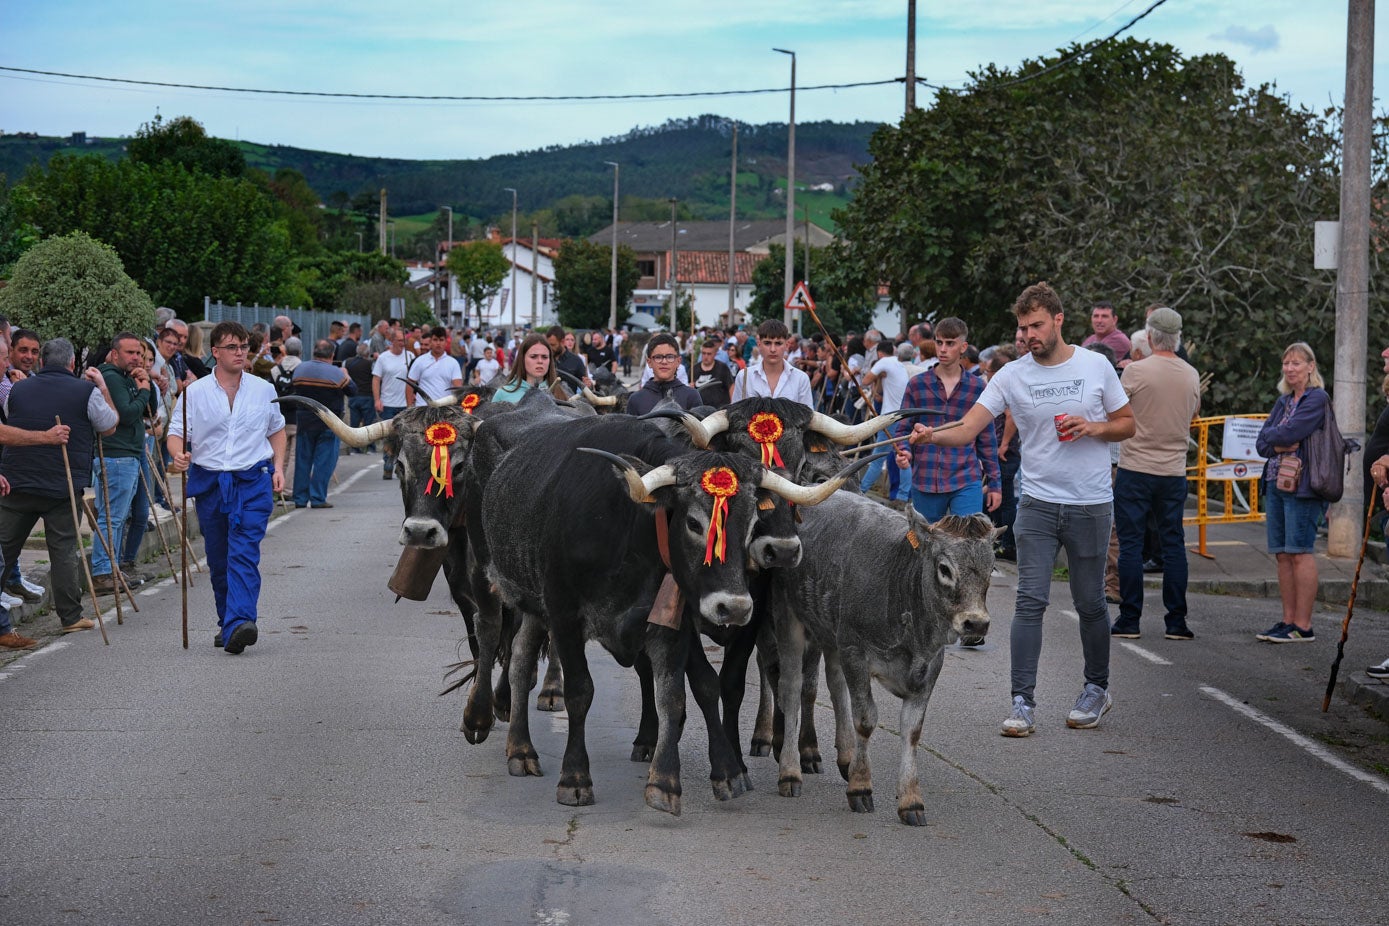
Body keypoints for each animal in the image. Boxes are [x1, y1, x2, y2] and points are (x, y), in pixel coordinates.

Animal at [772, 497, 1000, 827]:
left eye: (991, 567)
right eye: (944, 568)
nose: (976, 623)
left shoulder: (929, 668)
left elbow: (912, 730)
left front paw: (910, 801)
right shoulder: (854, 649)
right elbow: (866, 719)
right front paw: (861, 787)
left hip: (830, 633)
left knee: (835, 685)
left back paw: (846, 757)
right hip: (790, 618)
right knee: (791, 689)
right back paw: (790, 771)